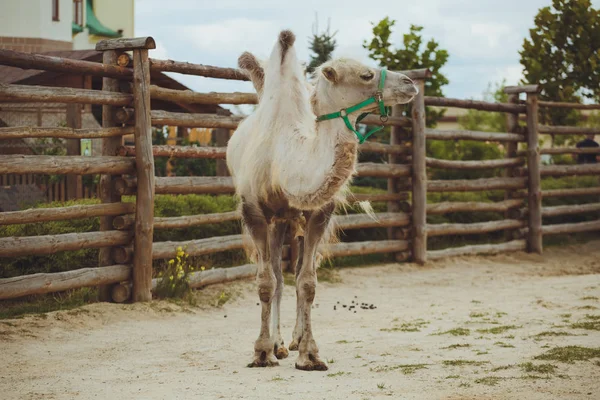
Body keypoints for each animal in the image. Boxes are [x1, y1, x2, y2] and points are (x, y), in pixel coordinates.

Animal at [225, 29, 418, 370]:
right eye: (366, 74)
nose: (410, 83)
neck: (285, 157)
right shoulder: (254, 211)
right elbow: (265, 282)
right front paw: (261, 352)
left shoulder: (317, 213)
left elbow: (308, 282)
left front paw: (310, 354)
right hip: (275, 219)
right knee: (276, 275)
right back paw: (276, 345)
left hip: (288, 219)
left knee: (292, 271)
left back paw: (292, 340)